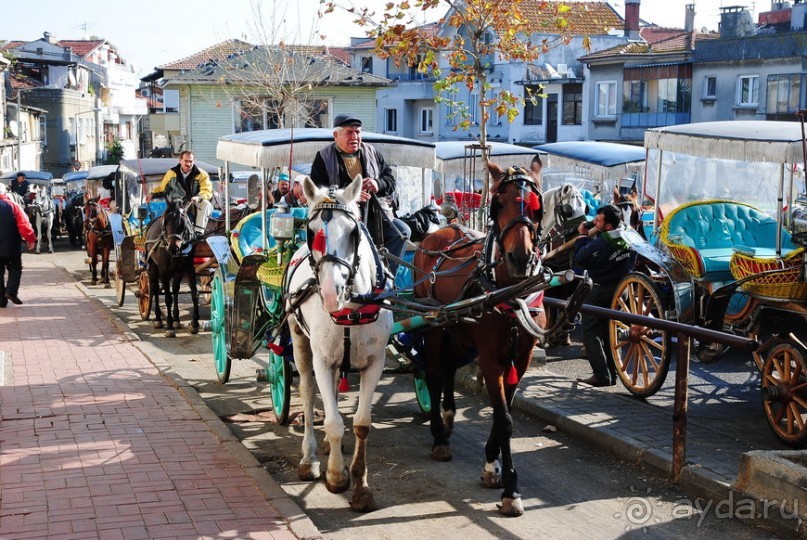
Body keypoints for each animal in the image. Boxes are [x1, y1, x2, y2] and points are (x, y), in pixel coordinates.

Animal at [284, 175, 394, 512]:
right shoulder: (321, 359)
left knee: (331, 390)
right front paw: (335, 476)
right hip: (298, 339)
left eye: (353, 232)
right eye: (311, 232)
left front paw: (361, 486)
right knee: (308, 392)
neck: (353, 307)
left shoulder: (375, 363)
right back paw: (309, 458)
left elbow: (362, 423)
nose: (332, 294)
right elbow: (332, 421)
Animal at [414, 159, 548, 516]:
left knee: (448, 368)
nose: (520, 258)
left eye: (537, 206)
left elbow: (506, 413)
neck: (511, 293)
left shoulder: (520, 358)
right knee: (434, 374)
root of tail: (444, 230)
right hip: (433, 326)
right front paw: (511, 488)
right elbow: (504, 420)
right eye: (497, 204)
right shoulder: (489, 358)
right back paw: (439, 436)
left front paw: (492, 464)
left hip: (459, 333)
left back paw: (448, 416)